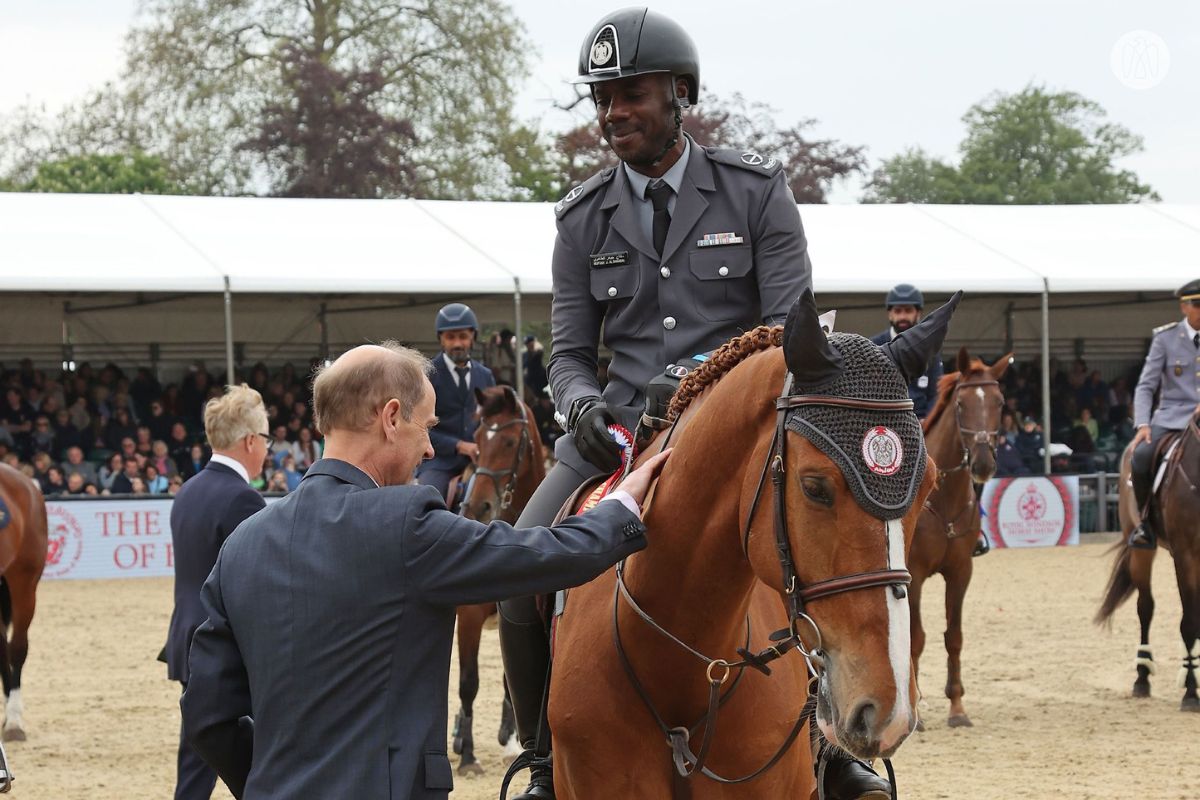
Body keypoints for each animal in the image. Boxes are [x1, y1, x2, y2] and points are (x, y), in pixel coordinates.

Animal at [912, 347, 1008, 729]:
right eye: (961, 404)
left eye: (999, 401)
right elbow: (917, 639)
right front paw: (917, 711)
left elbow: (954, 637)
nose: (982, 463)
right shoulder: (914, 576)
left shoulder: (960, 571)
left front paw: (957, 707)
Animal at [1099, 410, 1200, 710]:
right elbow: (1189, 622)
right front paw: (1191, 692)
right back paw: (1141, 677)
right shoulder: (1185, 555)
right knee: (1145, 607)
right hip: (1141, 551)